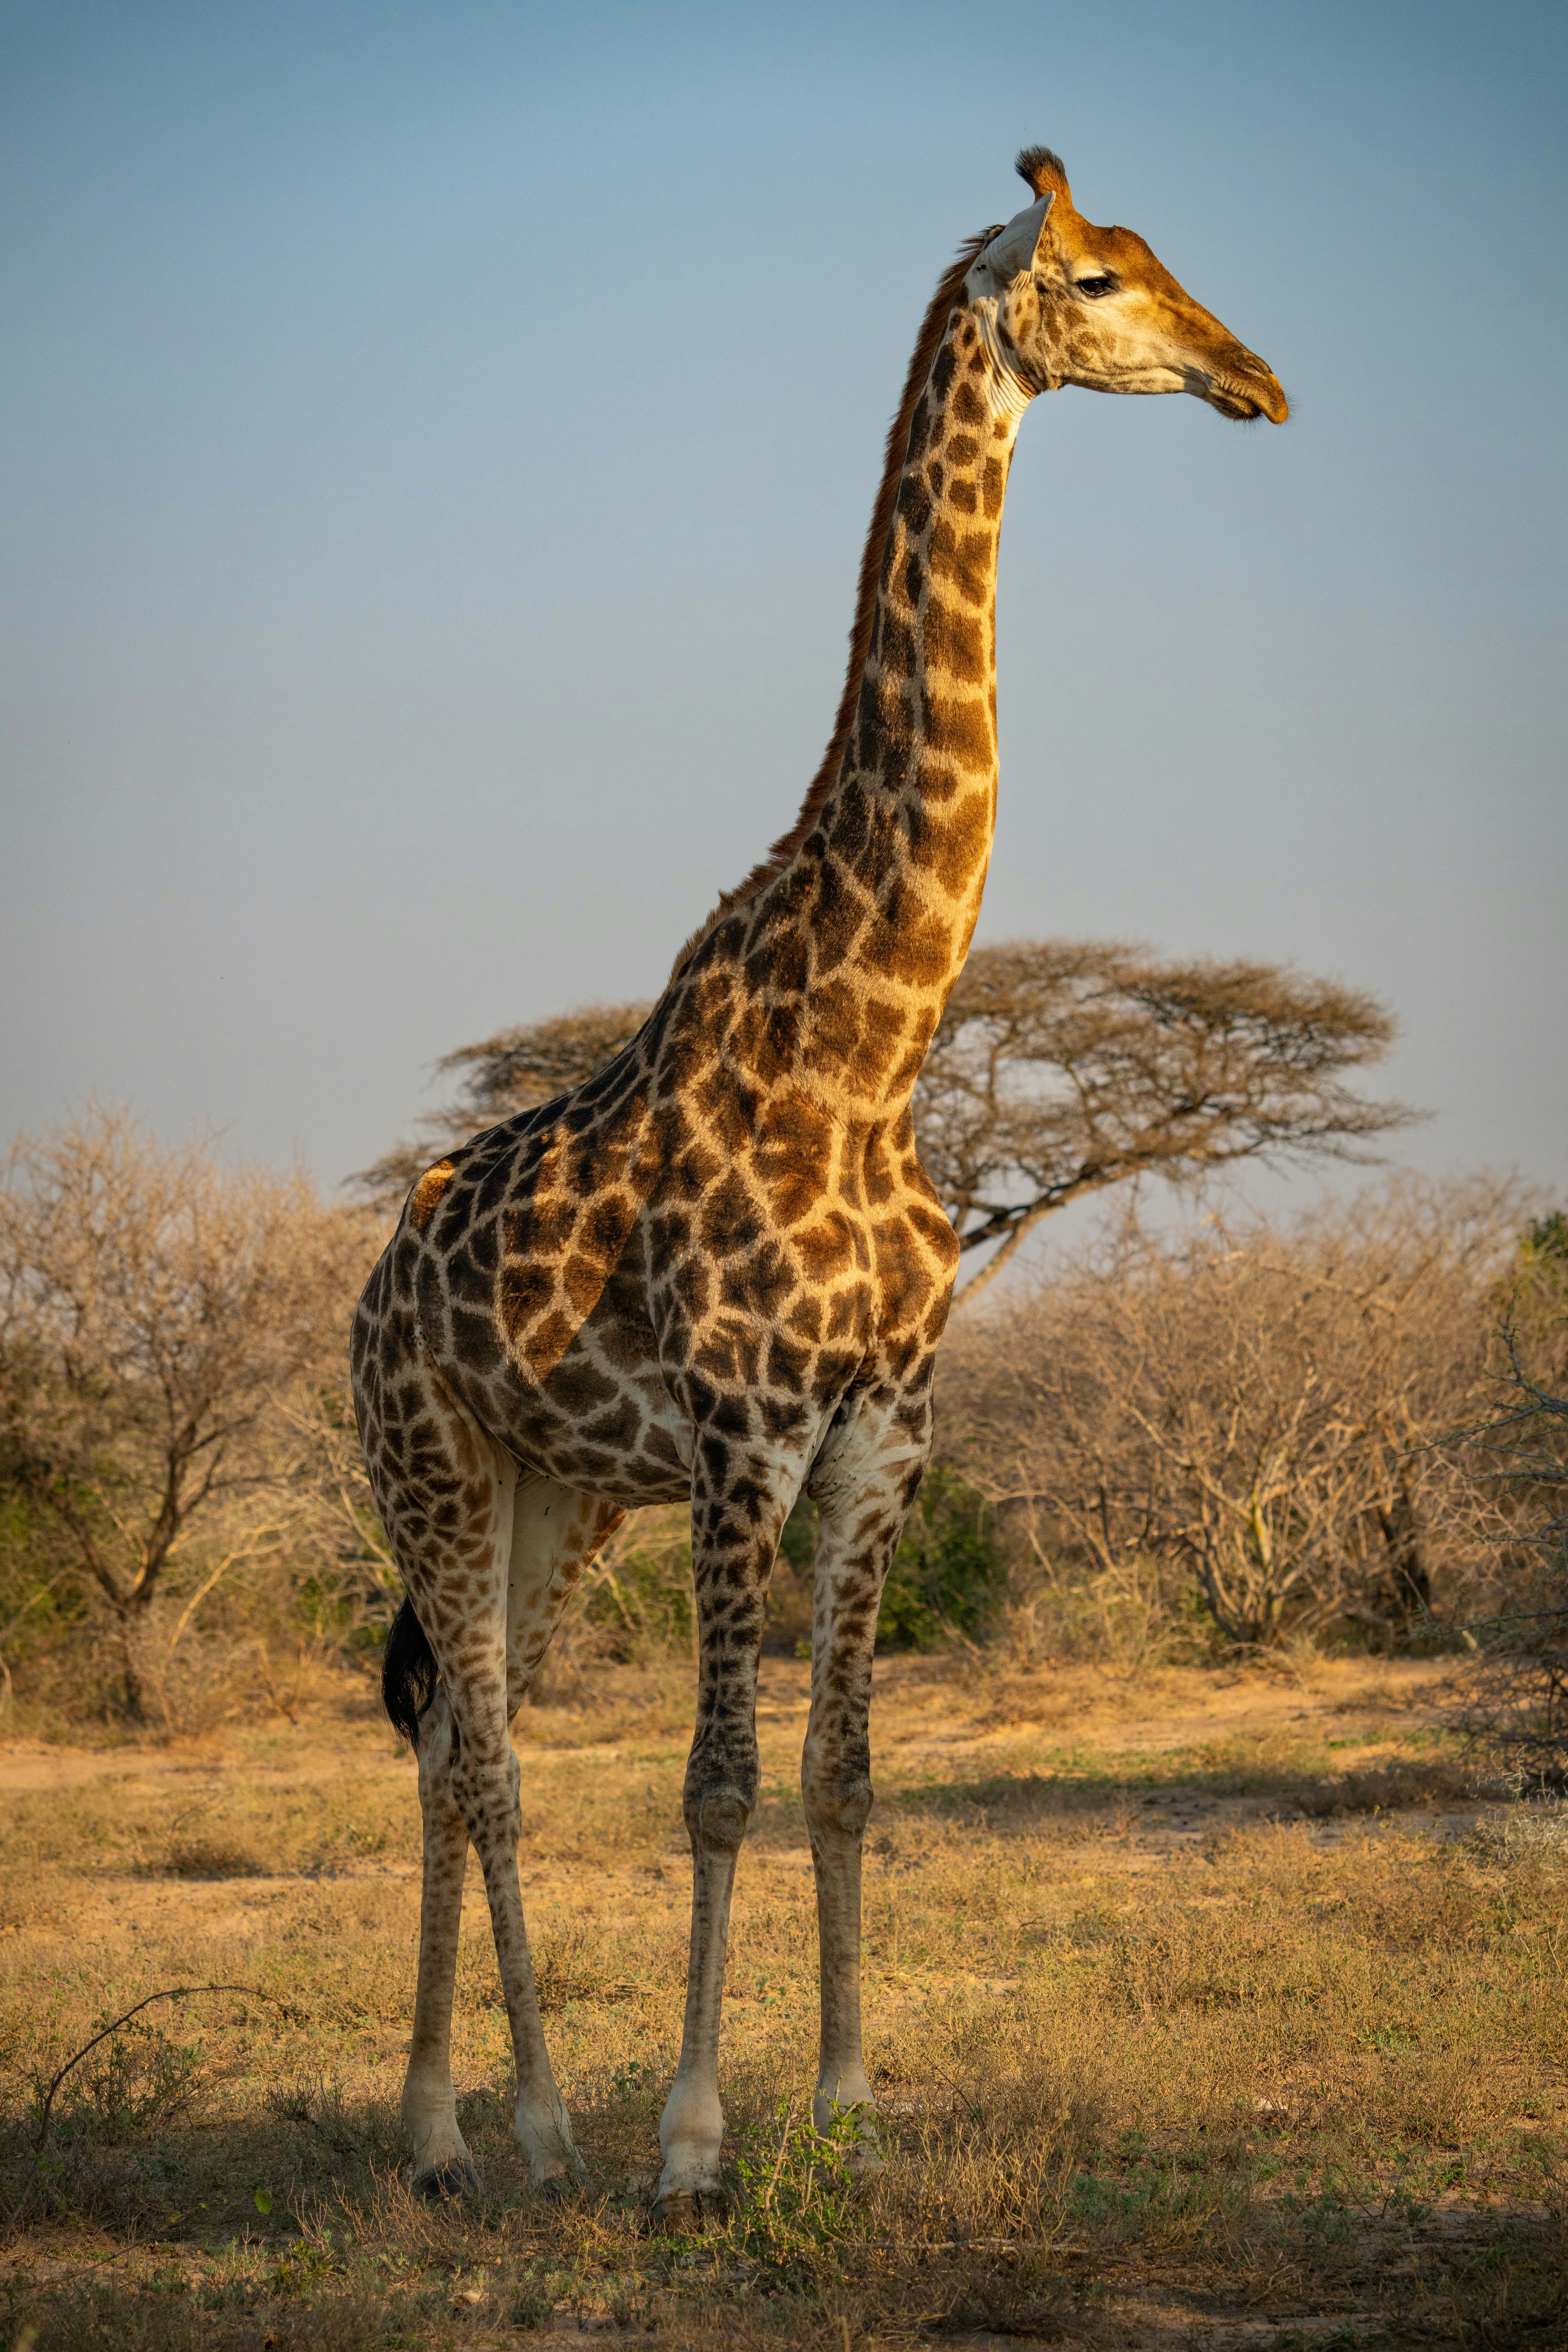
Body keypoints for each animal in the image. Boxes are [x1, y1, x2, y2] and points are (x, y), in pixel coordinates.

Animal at [351, 145, 1287, 2224]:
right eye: (1097, 280)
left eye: (1159, 262)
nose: (1254, 380)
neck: (862, 1057)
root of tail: (367, 1295)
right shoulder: (737, 1437)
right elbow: (711, 1780)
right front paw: (693, 2142)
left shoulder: (878, 1442)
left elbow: (843, 1774)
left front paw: (847, 2109)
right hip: (426, 1466)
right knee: (483, 1759)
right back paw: (500, 2127)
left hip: (550, 1499)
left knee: (458, 1734)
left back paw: (478, 2124)